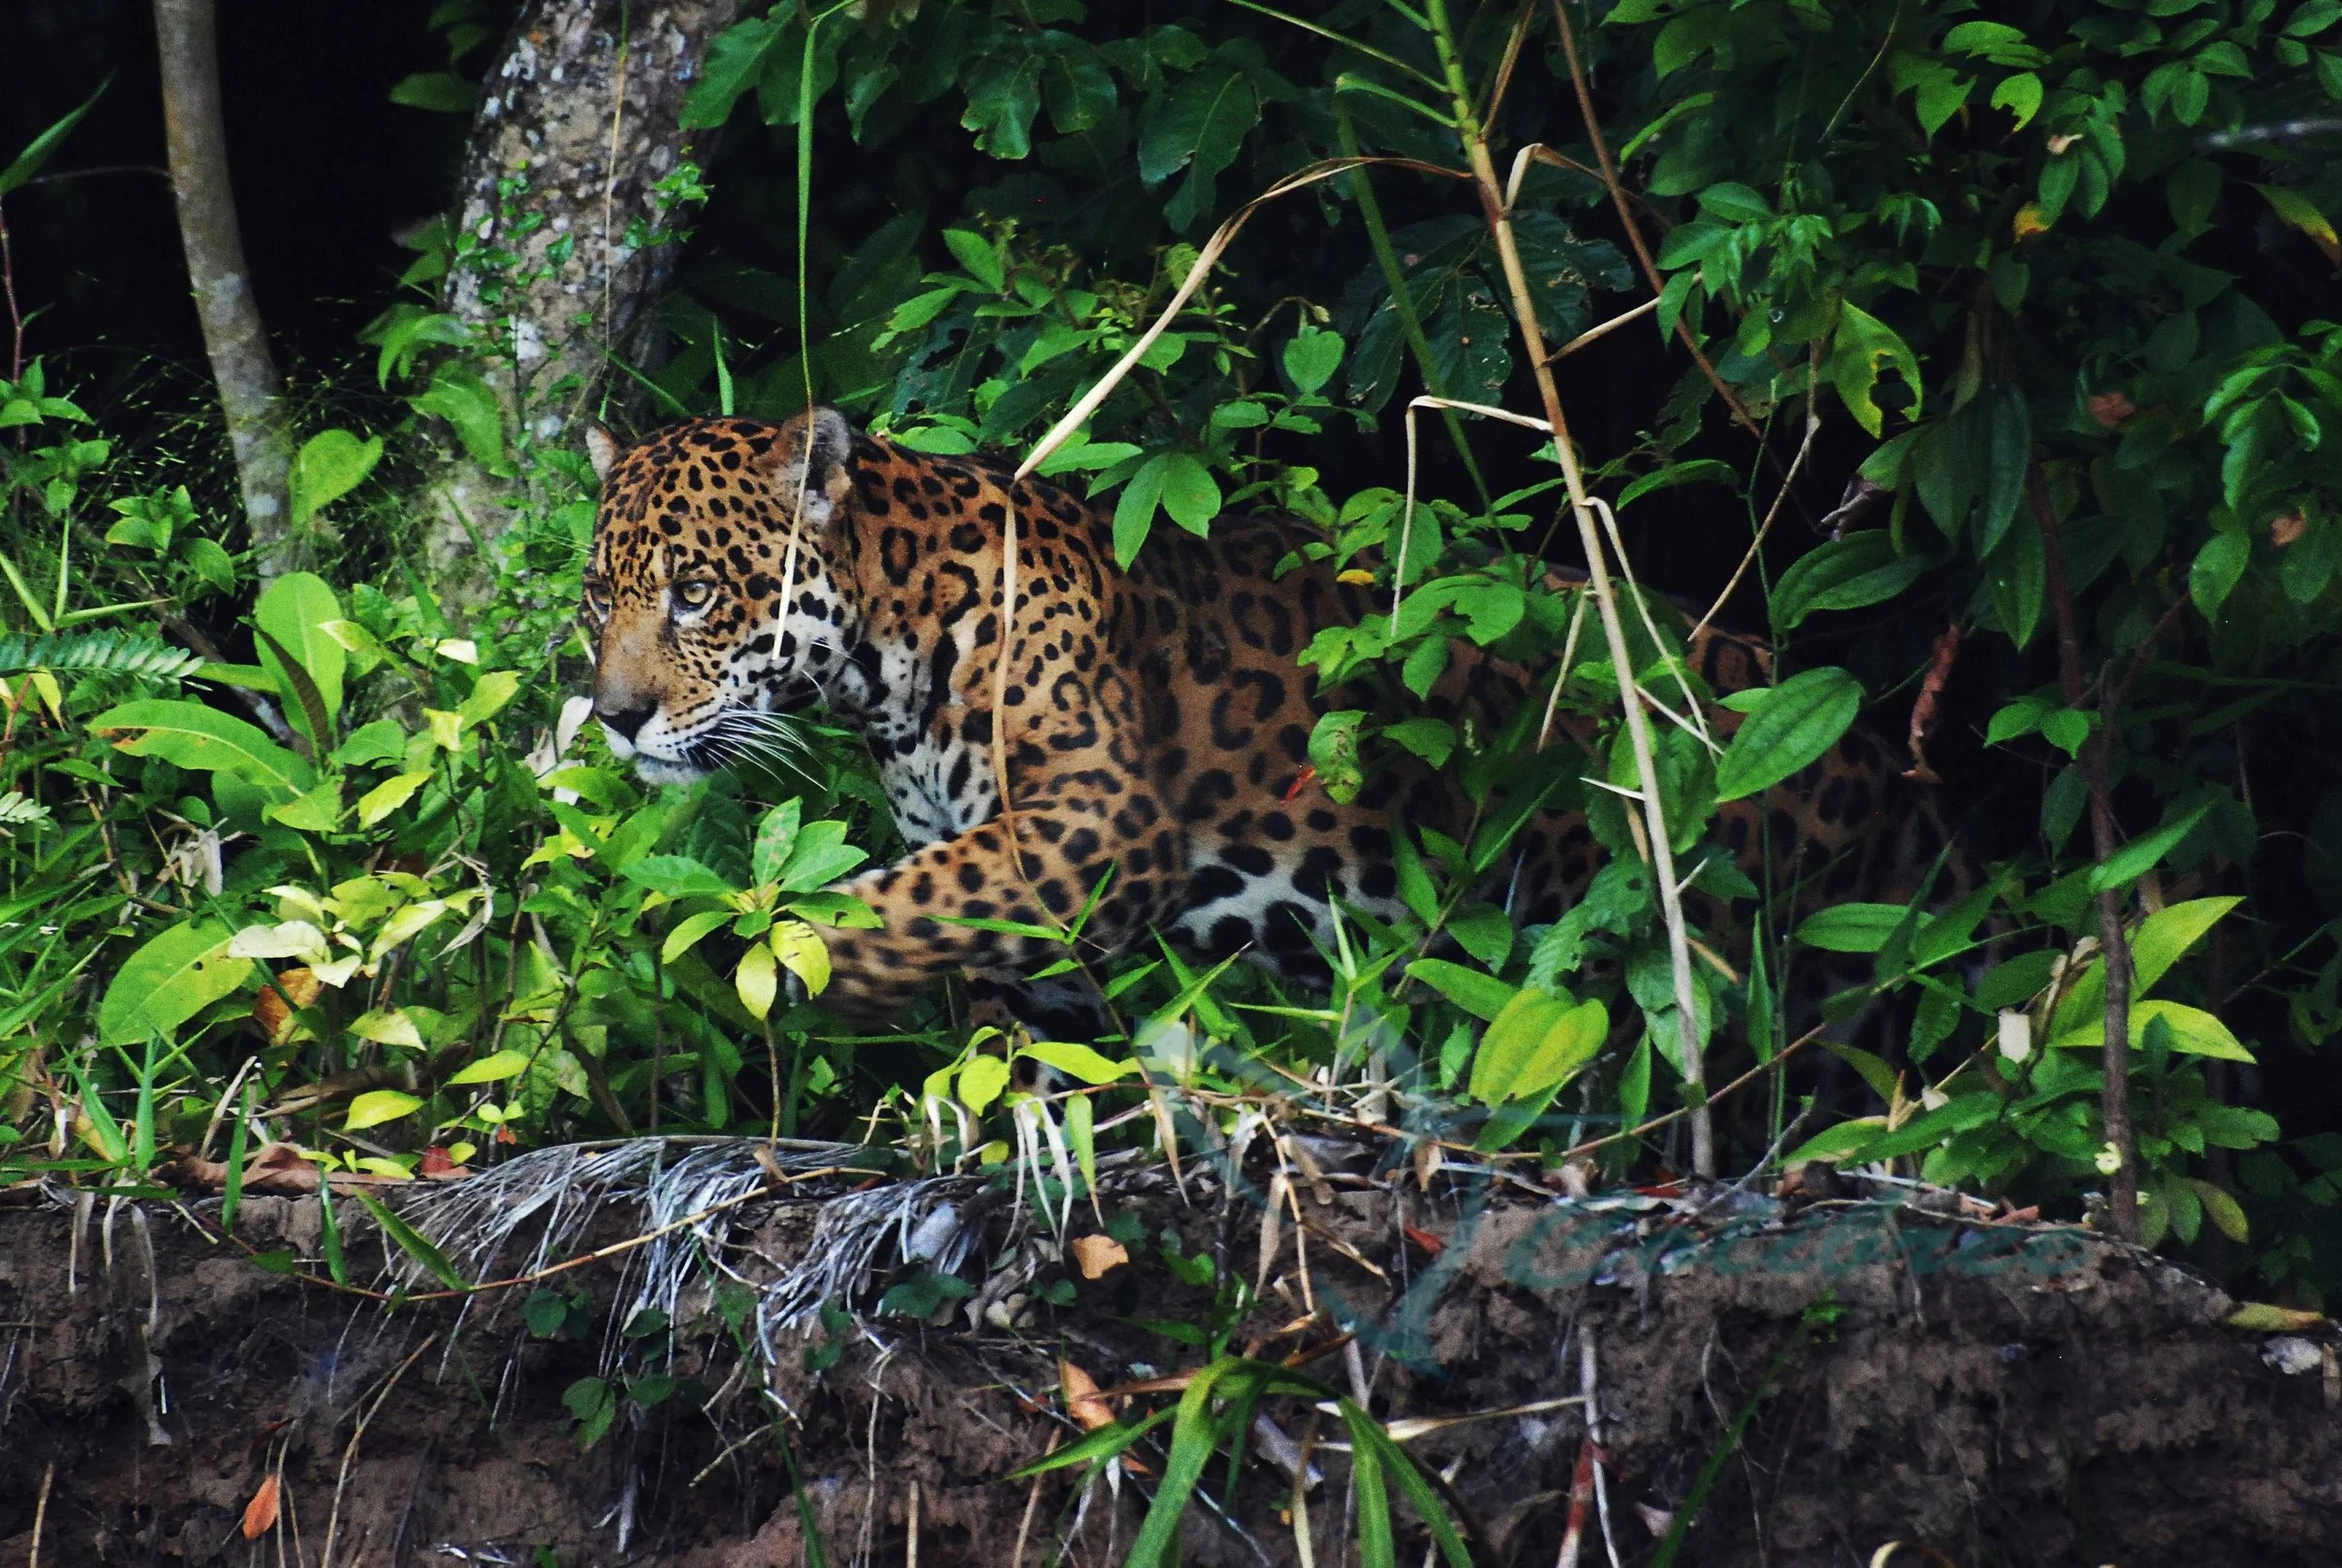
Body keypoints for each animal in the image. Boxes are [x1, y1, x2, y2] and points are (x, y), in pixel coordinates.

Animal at [579, 408, 1952, 1031]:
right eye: (600, 597)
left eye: (695, 591)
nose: (614, 718)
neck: (889, 652)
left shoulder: (1093, 819)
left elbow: (892, 905)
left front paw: (767, 965)